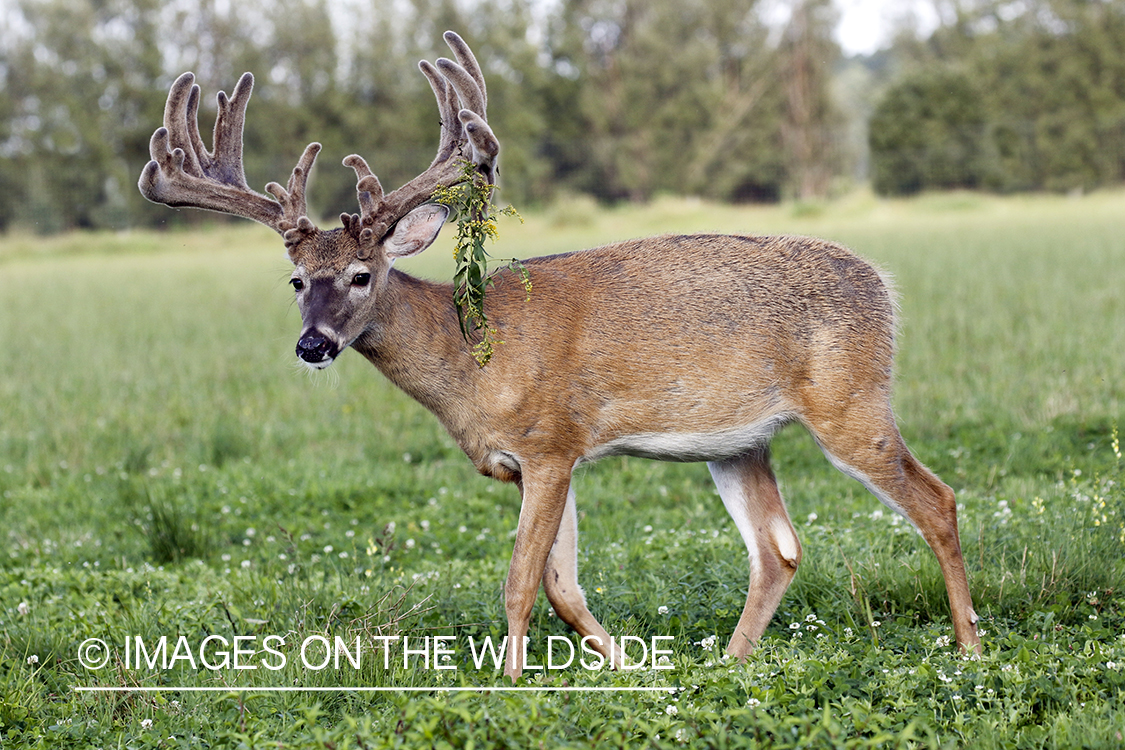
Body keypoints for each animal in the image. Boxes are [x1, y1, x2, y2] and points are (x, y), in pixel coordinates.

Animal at [140, 32, 981, 683]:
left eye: (360, 275)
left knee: (936, 499)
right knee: (778, 550)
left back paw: (969, 647)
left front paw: (510, 686)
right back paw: (727, 665)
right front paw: (628, 667)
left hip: (849, 400)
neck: (466, 356)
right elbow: (562, 586)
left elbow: (519, 581)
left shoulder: (550, 443)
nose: (312, 344)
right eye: (294, 281)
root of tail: (883, 285)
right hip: (739, 441)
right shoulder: (542, 460)